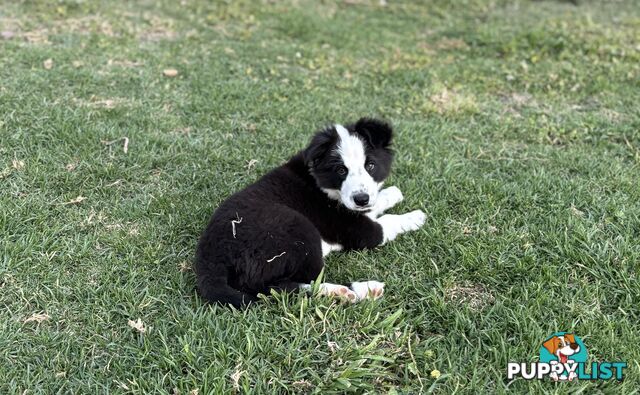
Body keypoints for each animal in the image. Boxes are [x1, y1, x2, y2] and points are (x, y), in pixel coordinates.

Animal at [195, 119, 424, 308]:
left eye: (370, 166)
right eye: (341, 170)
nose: (361, 199)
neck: (321, 183)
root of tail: (209, 258)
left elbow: (377, 204)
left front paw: (392, 193)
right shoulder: (358, 230)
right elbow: (388, 221)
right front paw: (416, 217)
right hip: (299, 229)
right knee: (294, 286)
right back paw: (356, 290)